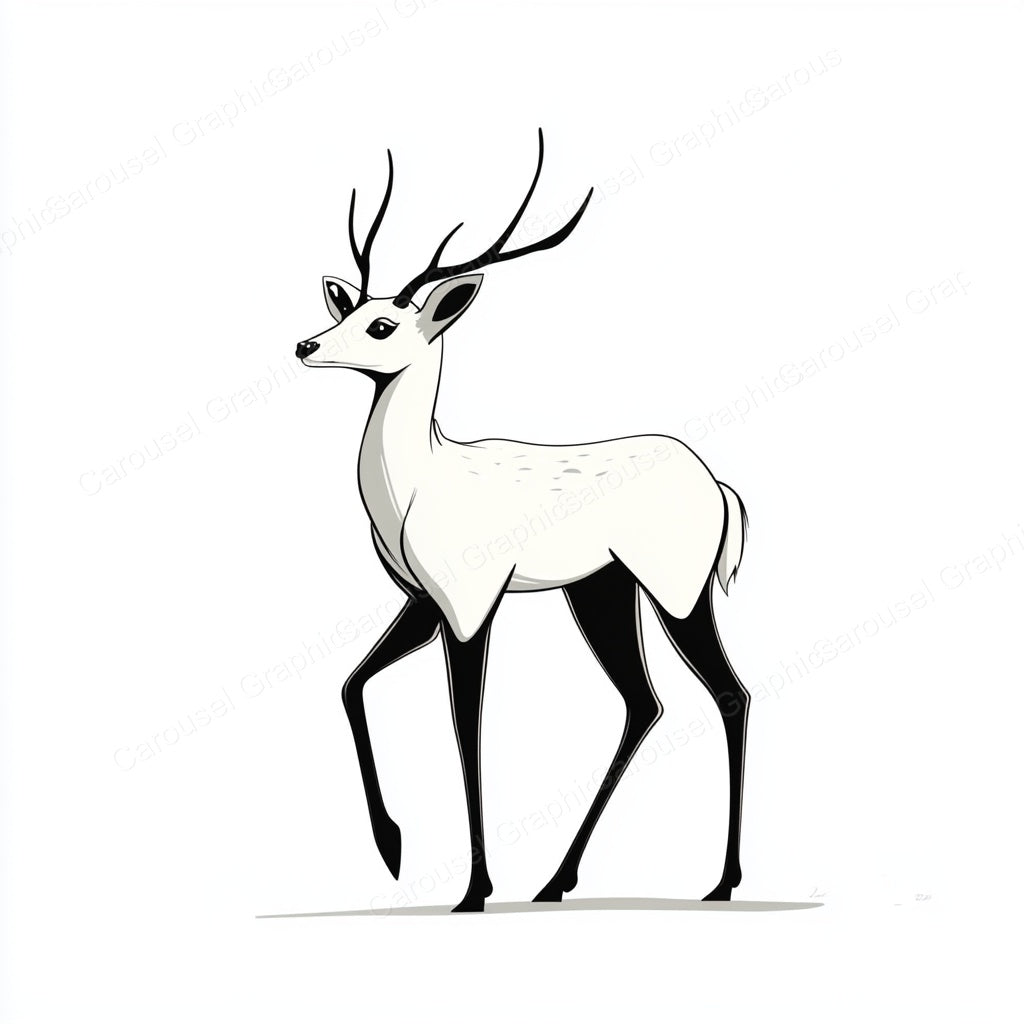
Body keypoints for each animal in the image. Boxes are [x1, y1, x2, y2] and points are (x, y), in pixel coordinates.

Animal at [293, 130, 751, 913]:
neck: (418, 483)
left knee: (728, 693)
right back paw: (555, 881)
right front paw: (392, 847)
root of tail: (719, 487)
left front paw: (473, 890)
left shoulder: (472, 605)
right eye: (346, 313)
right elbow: (351, 684)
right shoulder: (423, 602)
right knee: (643, 701)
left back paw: (720, 883)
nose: (305, 345)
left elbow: (466, 727)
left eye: (382, 325)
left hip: (677, 590)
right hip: (599, 590)